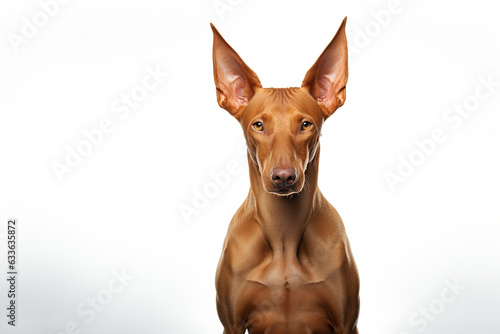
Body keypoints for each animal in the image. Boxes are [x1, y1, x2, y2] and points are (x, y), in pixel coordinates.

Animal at [211, 18, 360, 334]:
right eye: (258, 125)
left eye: (305, 124)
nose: (283, 177)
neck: (284, 235)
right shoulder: (231, 324)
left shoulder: (347, 323)